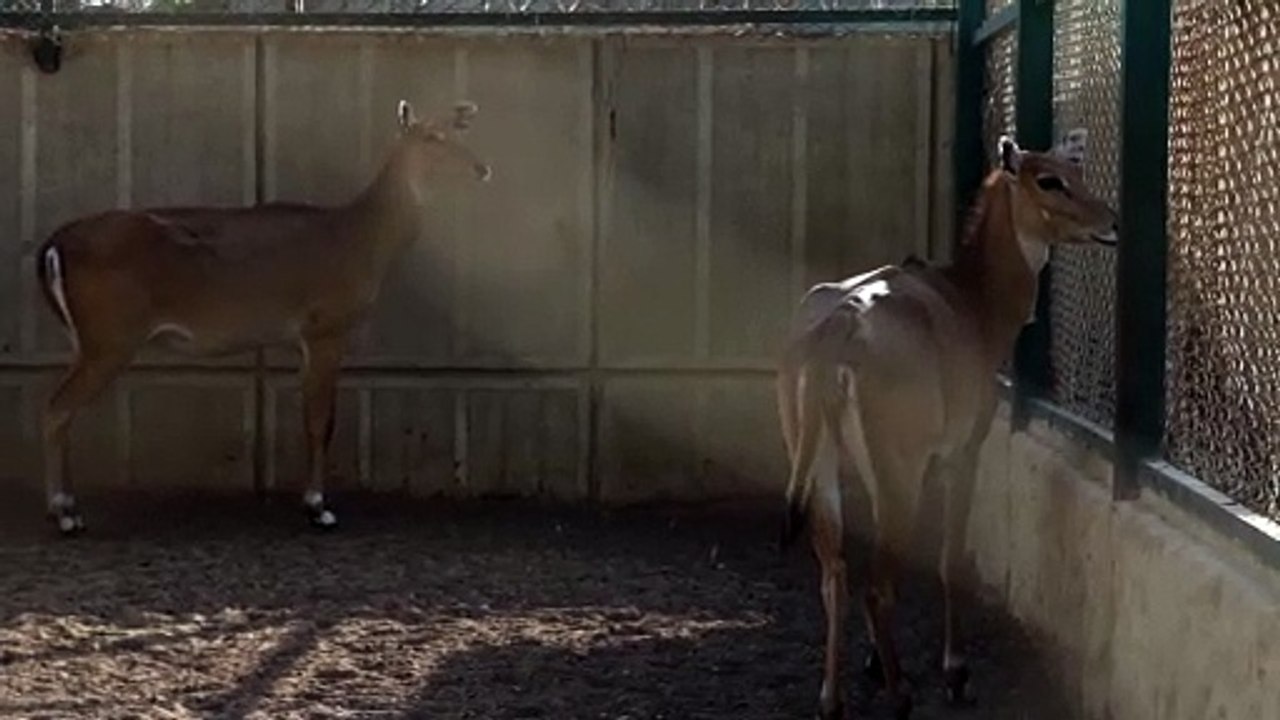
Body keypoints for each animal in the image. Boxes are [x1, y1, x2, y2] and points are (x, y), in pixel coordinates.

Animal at [33, 100, 491, 536]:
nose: (482, 168)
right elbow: (320, 421)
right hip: (109, 337)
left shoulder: (303, 338)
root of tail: (54, 246)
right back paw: (64, 514)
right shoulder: (325, 325)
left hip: (87, 339)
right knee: (56, 409)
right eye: (431, 137)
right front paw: (319, 507)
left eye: (459, 132)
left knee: (62, 410)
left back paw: (68, 507)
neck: (362, 241)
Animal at [776, 128, 1118, 719]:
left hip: (822, 460)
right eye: (1048, 179)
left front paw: (873, 662)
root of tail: (836, 331)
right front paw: (956, 671)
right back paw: (903, 694)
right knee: (875, 584)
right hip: (899, 466)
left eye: (1077, 170)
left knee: (835, 570)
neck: (975, 302)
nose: (1111, 220)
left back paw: (832, 699)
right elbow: (949, 552)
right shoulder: (964, 447)